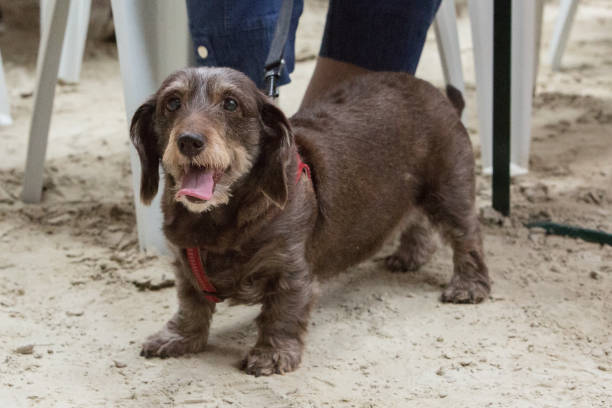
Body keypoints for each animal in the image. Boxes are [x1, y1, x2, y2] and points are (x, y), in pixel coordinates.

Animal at [131, 67, 490, 376]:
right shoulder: (185, 267)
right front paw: (178, 338)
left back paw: (468, 285)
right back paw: (410, 255)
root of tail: (437, 93)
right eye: (172, 102)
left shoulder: (291, 271)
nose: (189, 141)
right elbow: (191, 306)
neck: (216, 221)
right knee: (416, 219)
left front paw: (271, 355)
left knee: (467, 235)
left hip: (448, 189)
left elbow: (281, 313)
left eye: (231, 103)